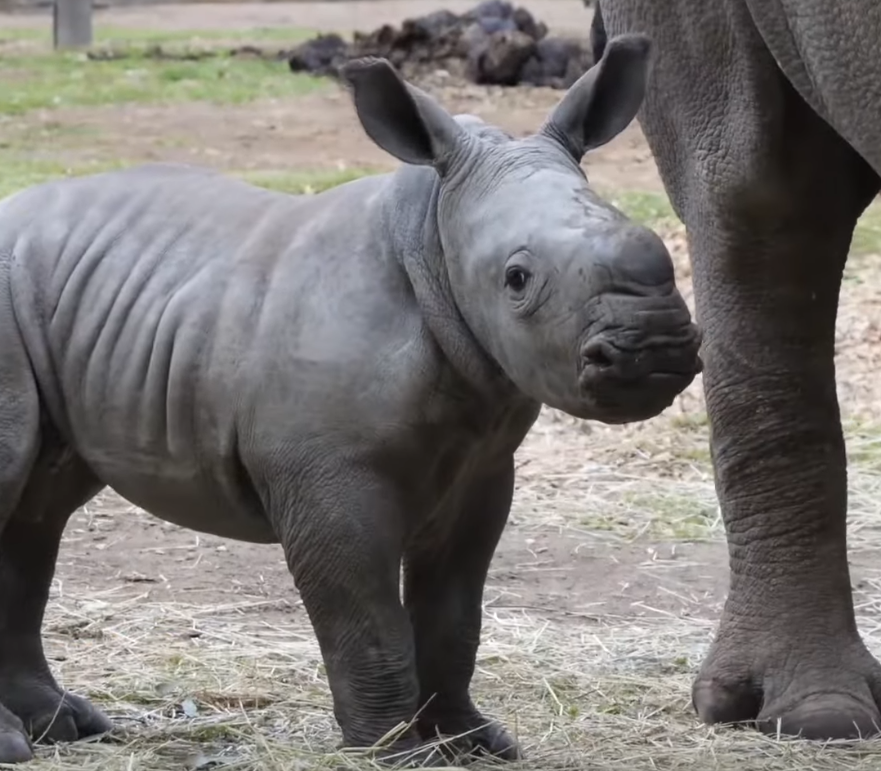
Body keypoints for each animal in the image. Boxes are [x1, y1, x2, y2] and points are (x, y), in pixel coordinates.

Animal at [0, 34, 696, 764]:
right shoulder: (329, 474)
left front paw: (473, 741)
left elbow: (454, 612)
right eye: (516, 278)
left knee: (35, 518)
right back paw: (22, 742)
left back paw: (63, 726)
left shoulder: (483, 464)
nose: (652, 348)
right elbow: (368, 619)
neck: (433, 237)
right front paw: (398, 754)